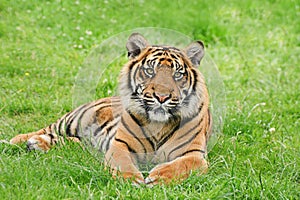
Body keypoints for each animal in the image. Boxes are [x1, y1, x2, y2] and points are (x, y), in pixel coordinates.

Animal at [10, 33, 212, 186]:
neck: (158, 124)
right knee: (48, 128)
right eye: (150, 71)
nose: (162, 97)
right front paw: (131, 180)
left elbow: (181, 165)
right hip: (74, 119)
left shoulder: (194, 154)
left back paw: (38, 144)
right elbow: (123, 163)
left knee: (71, 142)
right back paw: (20, 140)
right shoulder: (121, 145)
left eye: (177, 74)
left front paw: (158, 178)